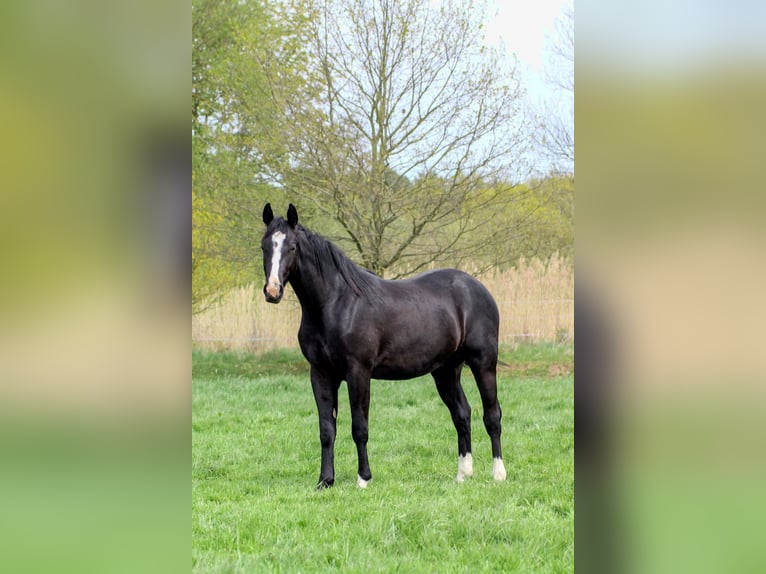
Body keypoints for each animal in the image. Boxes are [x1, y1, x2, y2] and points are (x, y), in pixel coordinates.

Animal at [261, 203, 507, 489]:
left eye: (292, 247)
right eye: (264, 246)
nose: (272, 291)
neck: (336, 303)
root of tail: (477, 288)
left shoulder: (358, 372)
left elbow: (359, 428)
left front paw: (363, 479)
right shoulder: (320, 374)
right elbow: (326, 429)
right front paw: (325, 481)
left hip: (483, 363)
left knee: (492, 415)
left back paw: (498, 473)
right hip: (446, 370)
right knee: (462, 414)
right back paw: (463, 474)